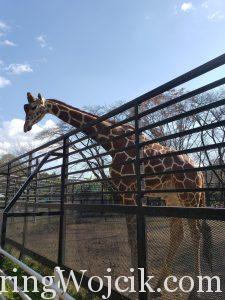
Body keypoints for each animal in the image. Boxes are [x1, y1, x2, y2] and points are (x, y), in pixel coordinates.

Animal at [23, 92, 212, 298]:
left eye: (33, 107)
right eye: (25, 107)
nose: (25, 127)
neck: (112, 141)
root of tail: (200, 172)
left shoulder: (128, 190)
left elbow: (133, 240)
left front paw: (135, 286)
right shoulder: (126, 192)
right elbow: (133, 239)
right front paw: (140, 284)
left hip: (189, 195)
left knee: (196, 233)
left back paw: (194, 290)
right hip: (173, 199)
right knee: (178, 235)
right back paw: (157, 287)